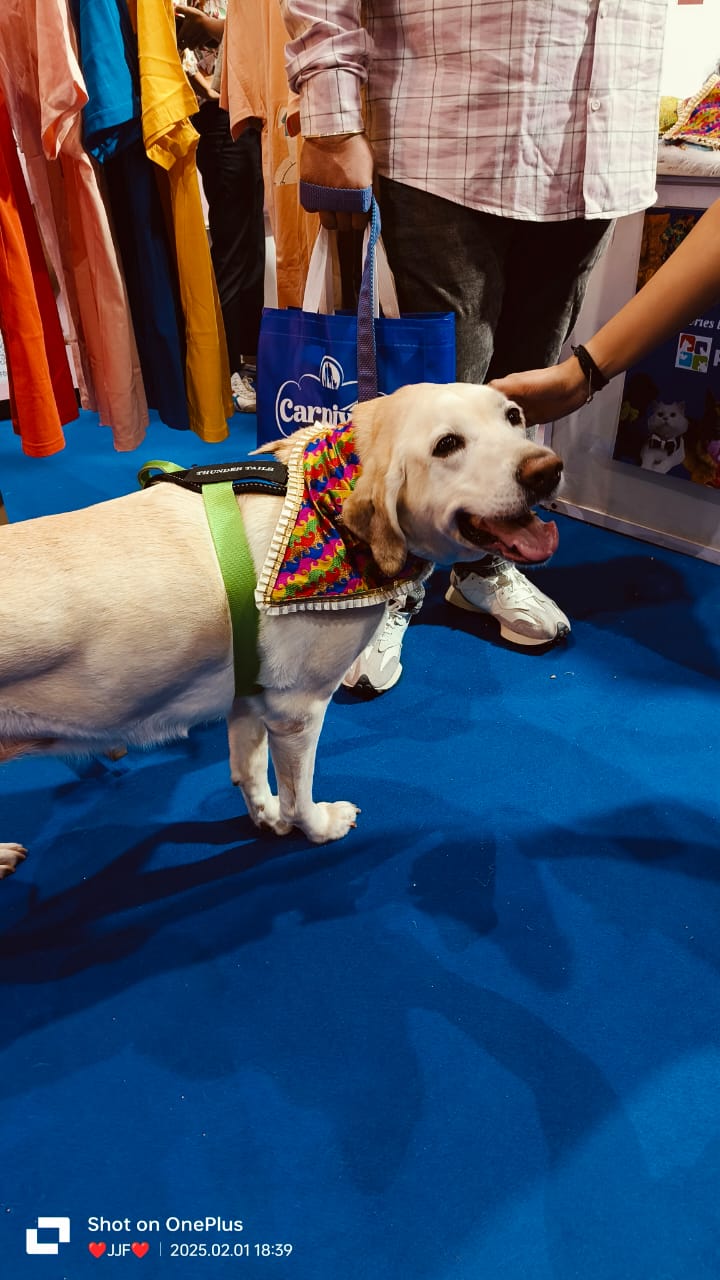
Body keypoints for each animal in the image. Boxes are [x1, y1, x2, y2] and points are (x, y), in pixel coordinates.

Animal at [0, 382, 562, 871]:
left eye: (514, 416)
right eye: (447, 445)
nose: (548, 470)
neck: (323, 499)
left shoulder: (248, 695)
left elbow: (247, 769)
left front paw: (266, 817)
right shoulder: (298, 709)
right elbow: (298, 793)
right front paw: (315, 827)